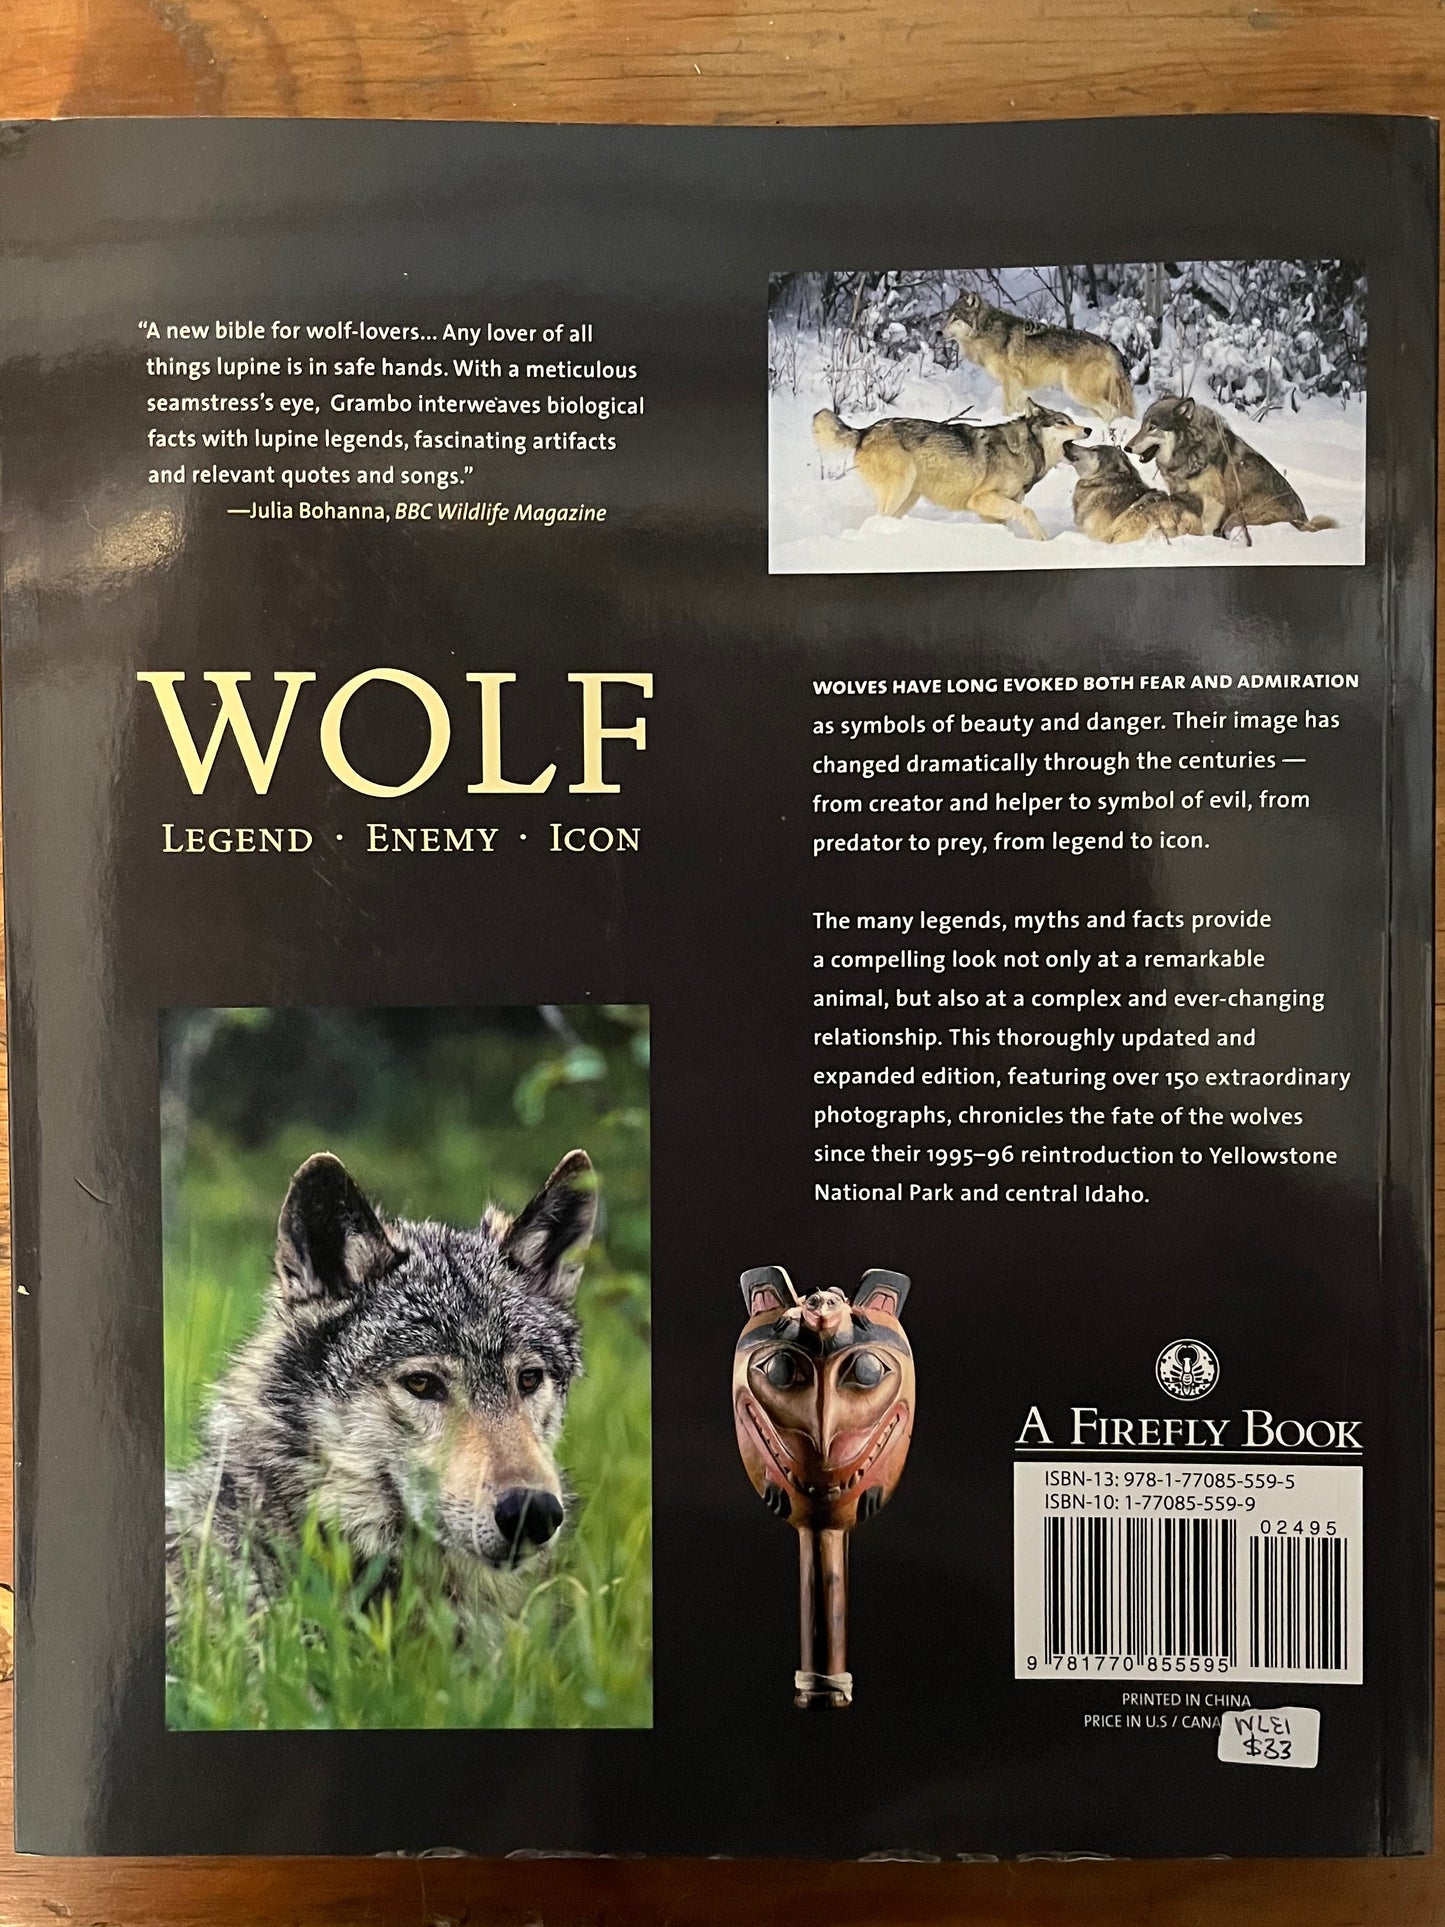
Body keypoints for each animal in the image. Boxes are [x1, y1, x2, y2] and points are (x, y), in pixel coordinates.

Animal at [812, 401, 1083, 541]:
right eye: (1062, 422)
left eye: (1072, 421)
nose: (1088, 429)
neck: (1025, 448)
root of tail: (864, 431)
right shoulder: (979, 499)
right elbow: (1028, 512)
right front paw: (1044, 540)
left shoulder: (991, 508)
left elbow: (1007, 522)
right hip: (901, 488)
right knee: (875, 519)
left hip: (908, 497)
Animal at [944, 289, 1136, 423]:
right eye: (948, 316)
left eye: (956, 318)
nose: (939, 332)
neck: (986, 329)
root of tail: (1109, 345)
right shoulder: (1014, 384)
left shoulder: (1010, 380)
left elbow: (1008, 409)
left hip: (1077, 391)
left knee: (1110, 411)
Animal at [1125, 395, 1337, 538]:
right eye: (1142, 425)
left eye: (1153, 427)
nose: (1127, 447)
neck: (1190, 448)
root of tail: (1305, 522)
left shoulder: (1214, 500)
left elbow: (1204, 527)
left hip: (1236, 518)